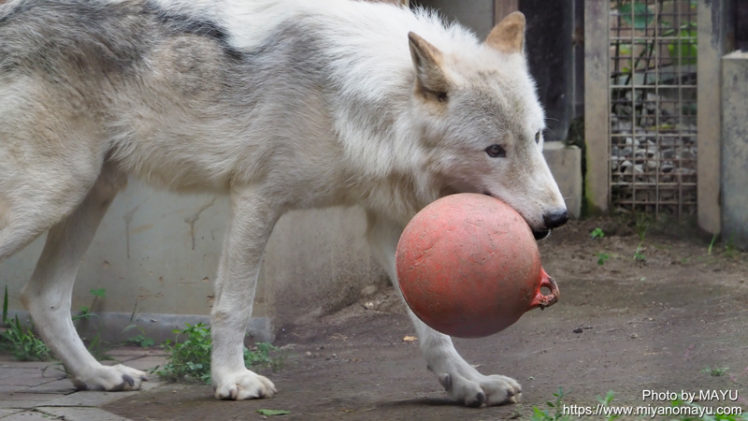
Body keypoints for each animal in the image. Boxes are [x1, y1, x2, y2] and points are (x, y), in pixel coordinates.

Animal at [0, 0, 568, 406]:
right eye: (494, 150)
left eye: (537, 137)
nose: (559, 217)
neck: (354, 97)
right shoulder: (257, 198)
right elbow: (234, 304)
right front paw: (232, 380)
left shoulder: (392, 229)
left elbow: (435, 332)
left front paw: (471, 384)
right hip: (54, 194)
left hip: (89, 195)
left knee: (42, 297)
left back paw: (97, 375)